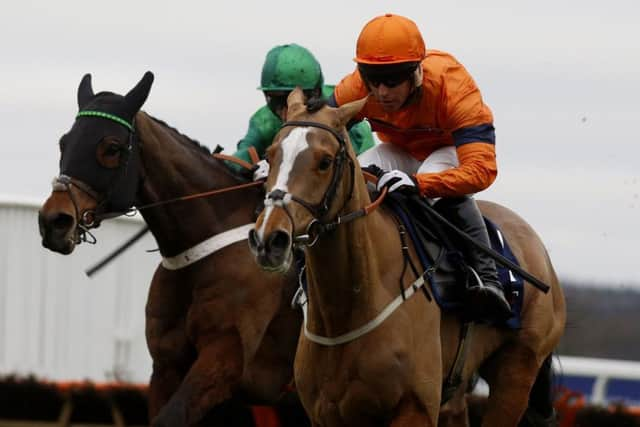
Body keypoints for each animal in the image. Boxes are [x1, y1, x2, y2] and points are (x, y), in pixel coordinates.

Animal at [248, 88, 568, 426]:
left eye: (325, 162)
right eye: (270, 154)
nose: (269, 238)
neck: (349, 308)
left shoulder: (416, 408)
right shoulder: (325, 413)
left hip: (517, 371)